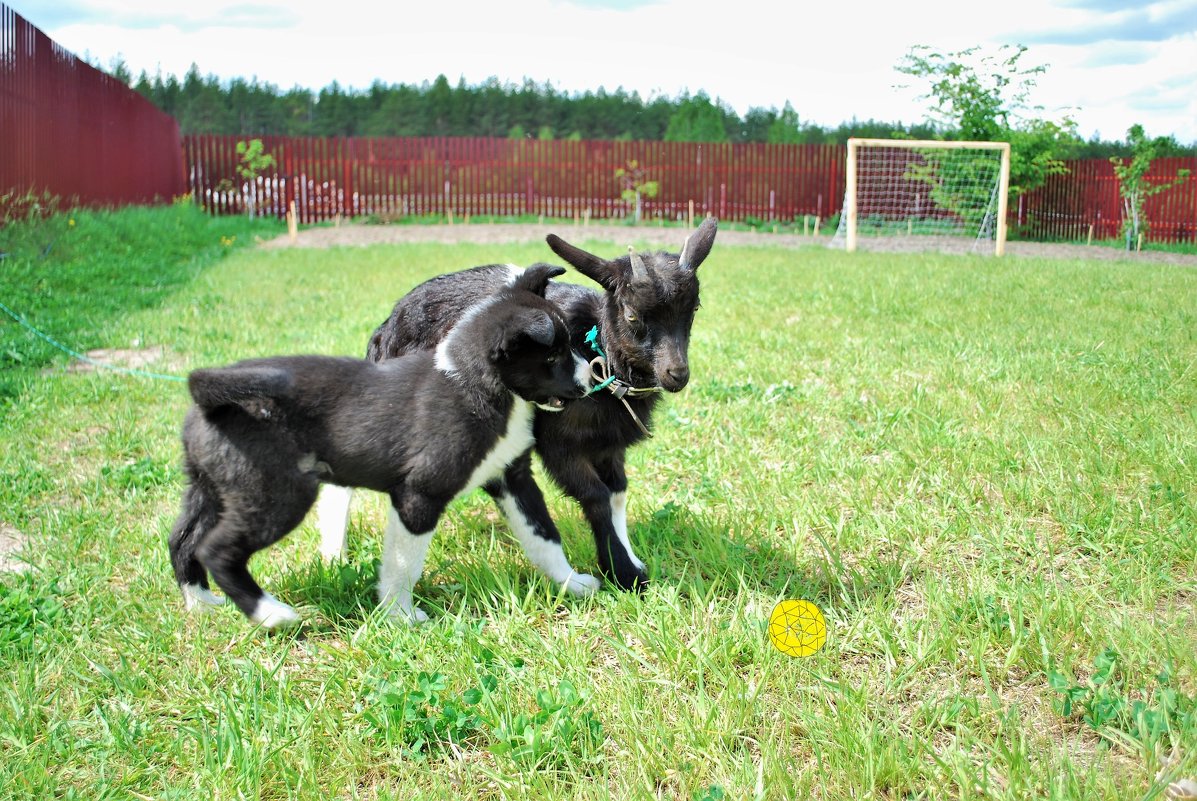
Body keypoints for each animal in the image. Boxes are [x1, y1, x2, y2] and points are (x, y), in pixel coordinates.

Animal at [166, 265, 596, 627]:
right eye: (553, 355)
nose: (591, 379)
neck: (477, 384)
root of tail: (208, 394)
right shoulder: (419, 495)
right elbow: (403, 565)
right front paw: (400, 617)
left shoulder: (513, 478)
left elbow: (543, 537)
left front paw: (572, 583)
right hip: (277, 494)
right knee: (217, 550)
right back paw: (272, 614)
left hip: (214, 487)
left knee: (184, 541)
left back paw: (201, 604)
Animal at [313, 219, 713, 593]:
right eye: (632, 315)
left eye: (694, 307)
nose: (677, 374)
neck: (597, 354)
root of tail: (385, 328)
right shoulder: (559, 445)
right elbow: (596, 496)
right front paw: (623, 575)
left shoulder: (608, 446)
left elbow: (617, 494)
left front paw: (631, 562)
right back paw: (336, 557)